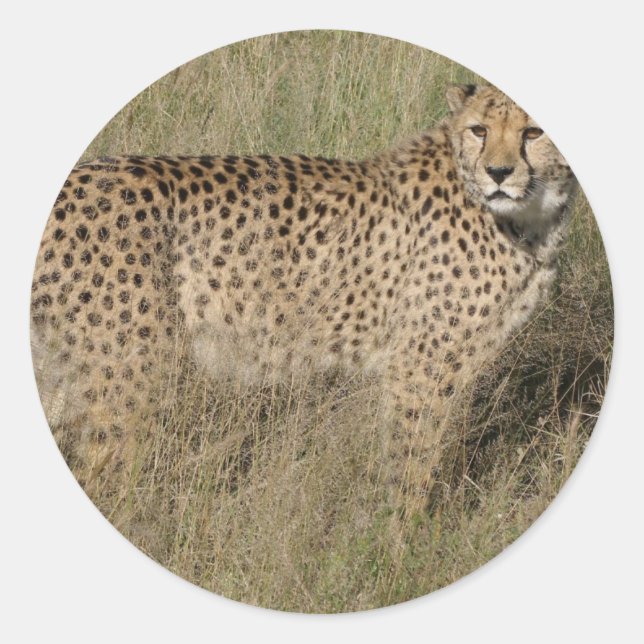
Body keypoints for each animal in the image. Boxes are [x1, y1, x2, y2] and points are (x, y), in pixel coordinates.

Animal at [30, 84, 576, 513]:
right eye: (480, 129)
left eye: (534, 133)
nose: (499, 173)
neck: (531, 219)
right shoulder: (419, 367)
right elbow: (411, 464)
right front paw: (401, 549)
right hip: (124, 374)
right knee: (102, 473)